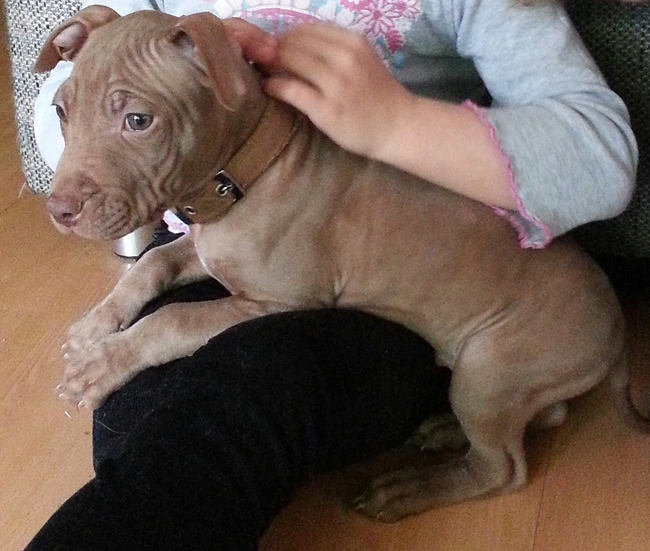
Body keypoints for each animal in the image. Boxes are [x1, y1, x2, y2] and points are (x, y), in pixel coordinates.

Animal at [35, 7, 648, 520]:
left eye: (139, 121)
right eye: (61, 111)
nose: (58, 211)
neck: (245, 175)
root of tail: (619, 332)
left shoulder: (277, 301)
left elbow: (176, 318)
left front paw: (104, 364)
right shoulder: (204, 250)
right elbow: (153, 262)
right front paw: (97, 325)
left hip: (492, 369)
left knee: (505, 469)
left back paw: (409, 489)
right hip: (505, 385)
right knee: (542, 420)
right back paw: (444, 433)